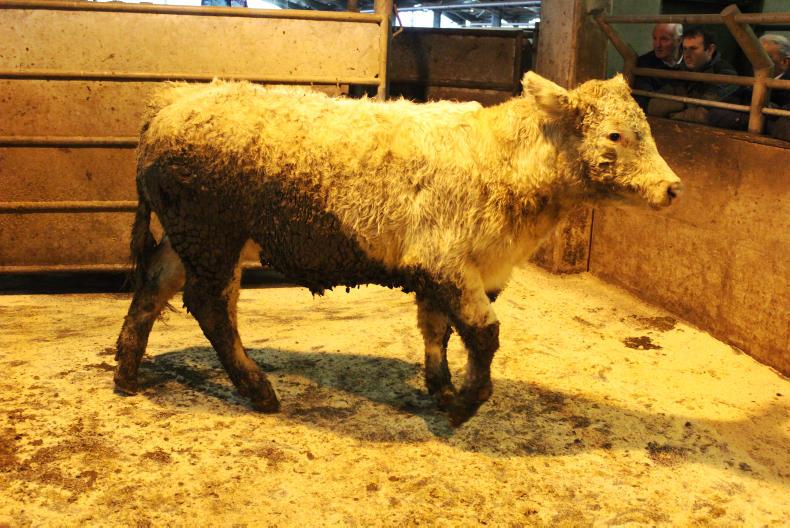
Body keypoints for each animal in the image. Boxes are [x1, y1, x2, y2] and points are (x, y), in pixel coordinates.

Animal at [115, 73, 682, 426]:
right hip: (212, 232)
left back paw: (126, 374)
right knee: (211, 305)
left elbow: (437, 329)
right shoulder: (449, 262)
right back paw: (259, 390)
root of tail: (170, 103)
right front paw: (465, 404)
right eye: (615, 135)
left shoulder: (458, 270)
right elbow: (483, 333)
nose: (673, 188)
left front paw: (441, 387)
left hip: (187, 235)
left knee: (154, 287)